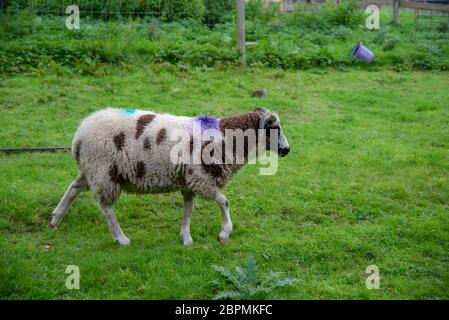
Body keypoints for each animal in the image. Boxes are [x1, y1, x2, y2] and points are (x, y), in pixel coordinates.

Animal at [50, 107, 288, 245]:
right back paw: (121, 238)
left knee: (74, 188)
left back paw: (56, 218)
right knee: (106, 207)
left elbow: (188, 210)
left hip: (93, 169)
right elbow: (225, 202)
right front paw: (224, 233)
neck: (228, 138)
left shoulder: (189, 181)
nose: (287, 150)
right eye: (274, 127)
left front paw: (186, 238)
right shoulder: (201, 178)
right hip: (105, 172)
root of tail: (79, 136)